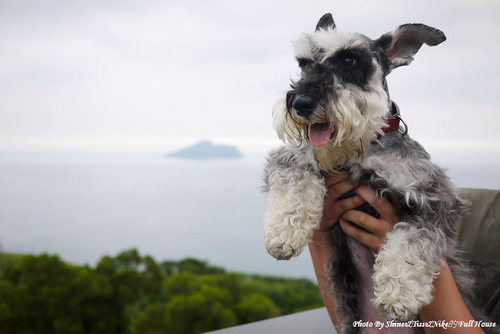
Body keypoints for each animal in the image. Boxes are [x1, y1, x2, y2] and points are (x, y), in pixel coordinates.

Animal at [262, 13, 496, 334]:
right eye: (304, 63)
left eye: (349, 59)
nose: (301, 103)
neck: (365, 145)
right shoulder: (295, 157)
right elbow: (293, 179)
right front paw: (283, 234)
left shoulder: (433, 196)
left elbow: (413, 241)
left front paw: (399, 294)